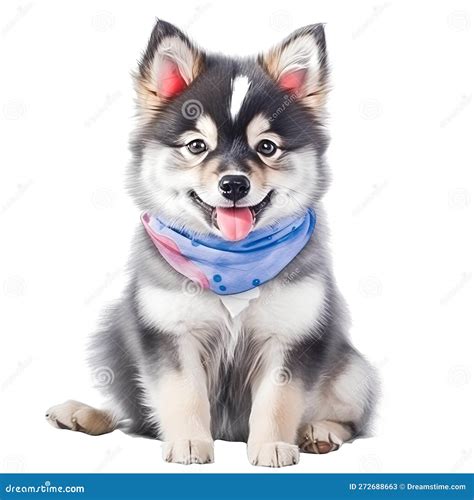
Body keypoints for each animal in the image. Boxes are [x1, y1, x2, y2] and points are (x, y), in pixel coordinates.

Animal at [46, 18, 380, 464]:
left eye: (267, 147)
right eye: (196, 146)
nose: (234, 184)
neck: (232, 262)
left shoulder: (291, 334)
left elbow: (278, 400)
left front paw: (272, 445)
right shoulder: (170, 331)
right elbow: (182, 393)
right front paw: (189, 442)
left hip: (354, 371)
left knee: (350, 417)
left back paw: (320, 431)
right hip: (113, 336)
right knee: (133, 414)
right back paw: (84, 413)